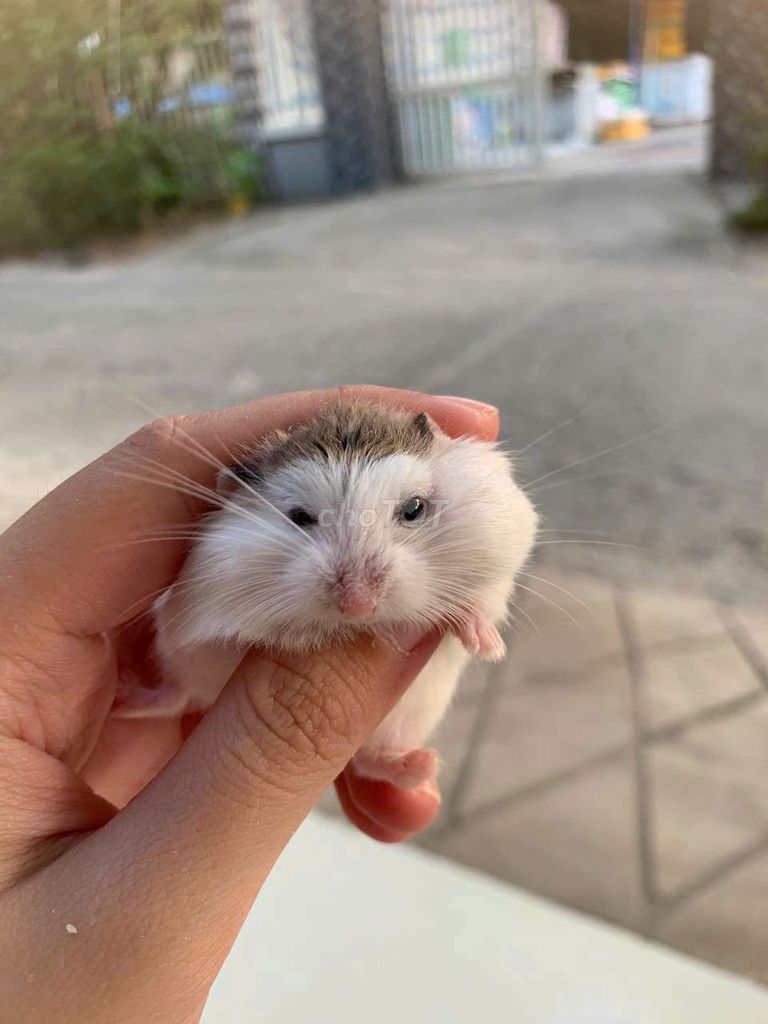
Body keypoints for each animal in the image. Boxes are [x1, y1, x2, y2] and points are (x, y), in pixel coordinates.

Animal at [115, 403, 538, 789]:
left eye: (414, 508)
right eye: (300, 517)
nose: (358, 607)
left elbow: (479, 604)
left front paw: (488, 645)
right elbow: (234, 641)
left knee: (369, 760)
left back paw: (421, 766)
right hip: (180, 659)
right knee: (179, 693)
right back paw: (123, 699)